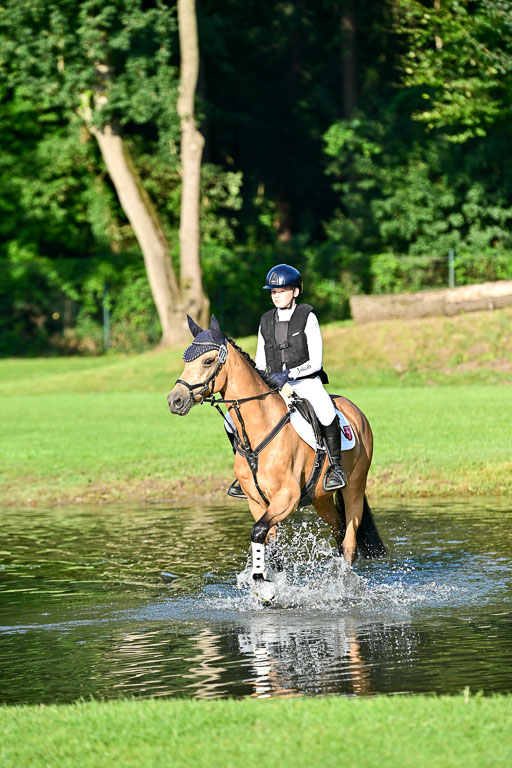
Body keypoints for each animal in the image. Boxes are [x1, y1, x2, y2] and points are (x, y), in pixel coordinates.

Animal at [167, 315, 385, 601]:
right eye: (185, 361)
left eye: (207, 361)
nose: (175, 400)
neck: (258, 433)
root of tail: (356, 410)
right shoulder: (257, 501)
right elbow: (270, 543)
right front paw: (273, 585)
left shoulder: (286, 497)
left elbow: (258, 532)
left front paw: (263, 582)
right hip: (320, 499)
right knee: (338, 530)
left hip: (354, 489)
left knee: (349, 541)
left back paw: (343, 588)